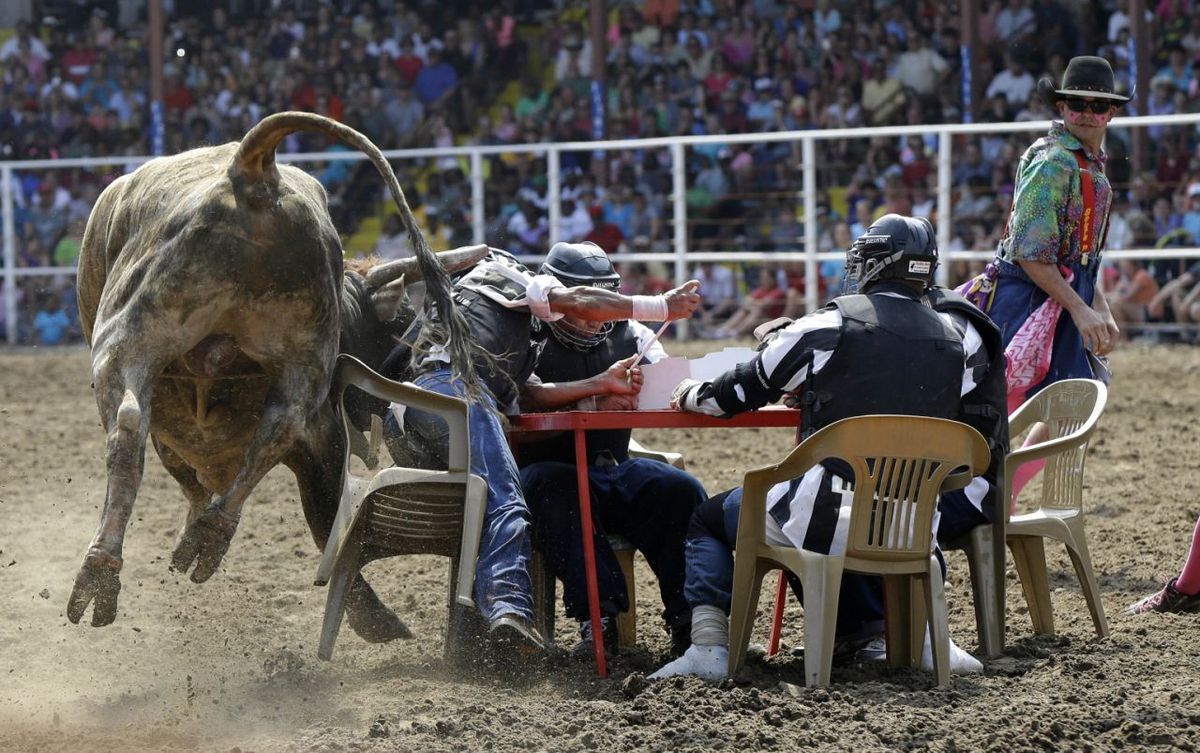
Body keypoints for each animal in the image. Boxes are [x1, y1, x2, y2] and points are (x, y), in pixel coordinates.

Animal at [68, 111, 480, 642]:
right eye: (404, 322)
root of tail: (252, 173)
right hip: (302, 355)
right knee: (277, 425)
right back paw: (207, 537)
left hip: (127, 335)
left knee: (128, 432)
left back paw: (106, 570)